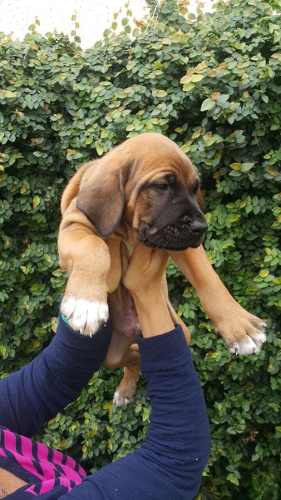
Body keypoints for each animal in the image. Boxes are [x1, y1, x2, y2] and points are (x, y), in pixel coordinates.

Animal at [58, 134, 266, 406]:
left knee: (139, 357)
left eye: (194, 188)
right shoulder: (74, 225)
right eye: (162, 186)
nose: (201, 227)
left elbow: (208, 277)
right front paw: (86, 304)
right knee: (134, 359)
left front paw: (240, 328)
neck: (128, 229)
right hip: (110, 356)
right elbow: (93, 247)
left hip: (178, 334)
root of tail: (132, 331)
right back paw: (125, 389)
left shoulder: (183, 244)